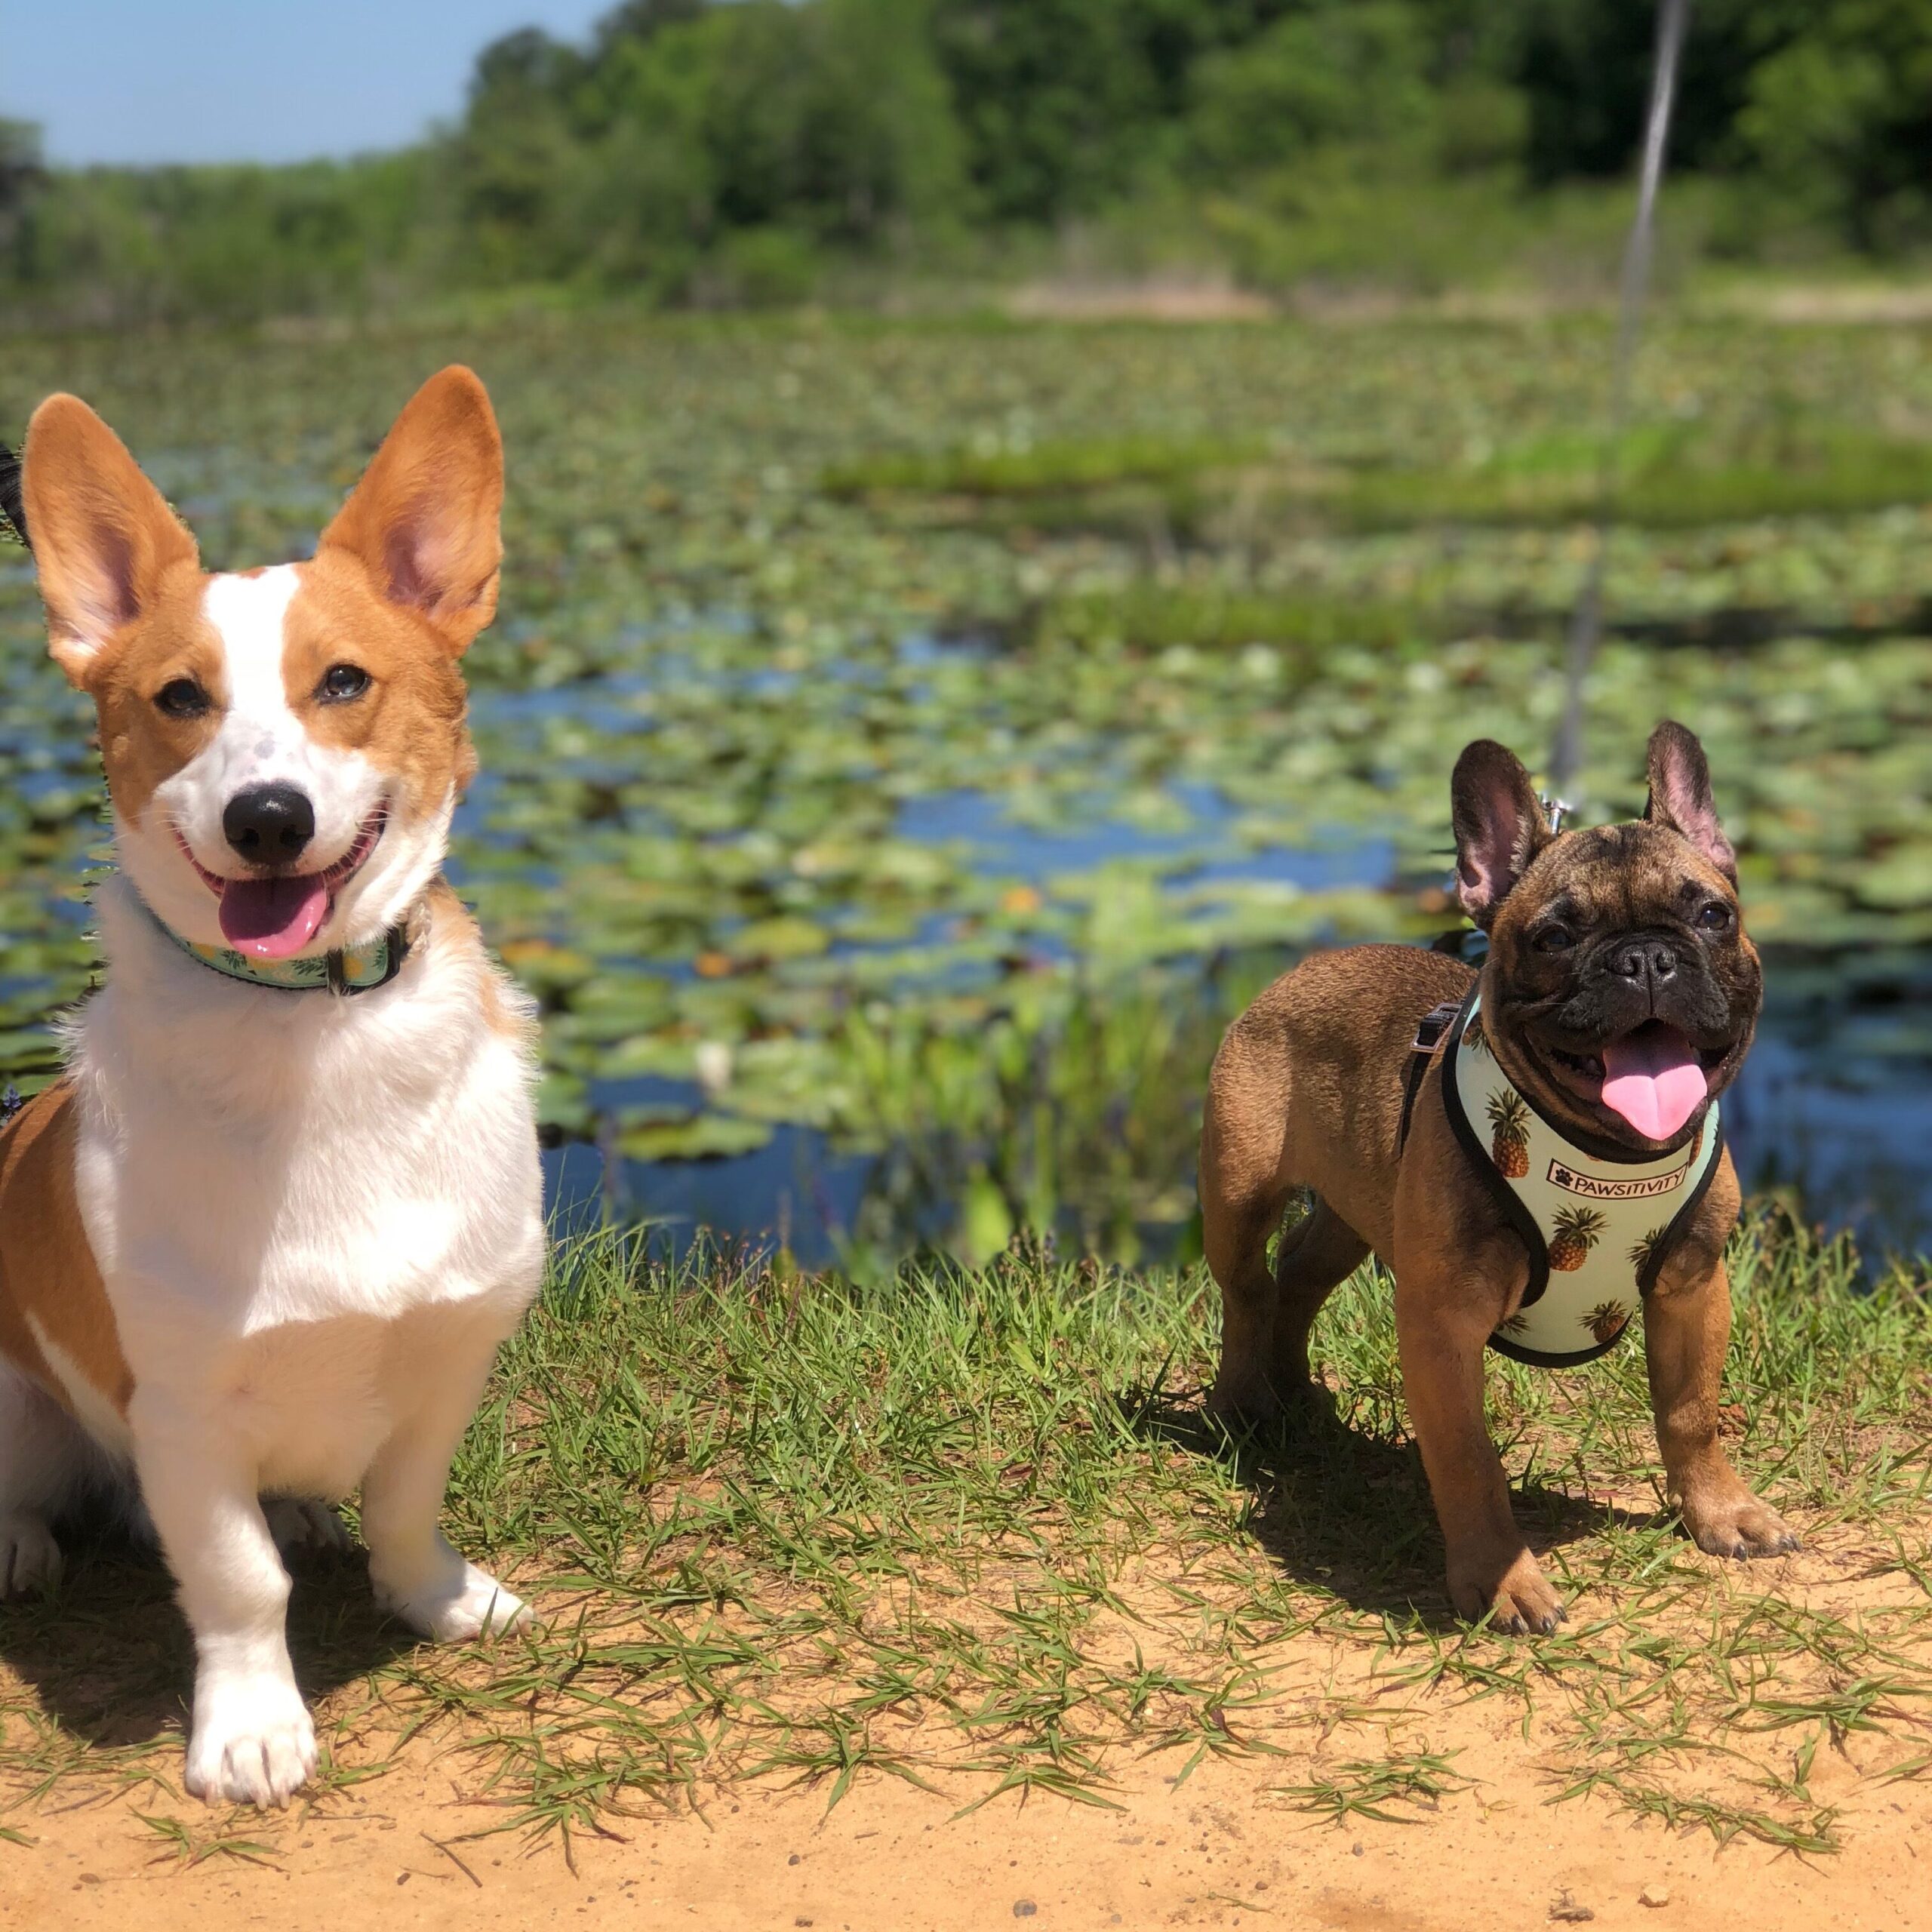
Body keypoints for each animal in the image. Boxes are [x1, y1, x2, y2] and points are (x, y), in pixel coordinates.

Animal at [2, 365, 544, 1808]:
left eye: (343, 681)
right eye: (179, 698)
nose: (267, 819)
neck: (313, 1032)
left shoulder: (447, 1357)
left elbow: (406, 1507)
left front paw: (435, 1599)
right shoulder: (184, 1413)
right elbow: (238, 1584)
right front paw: (250, 1728)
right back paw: (22, 1544)